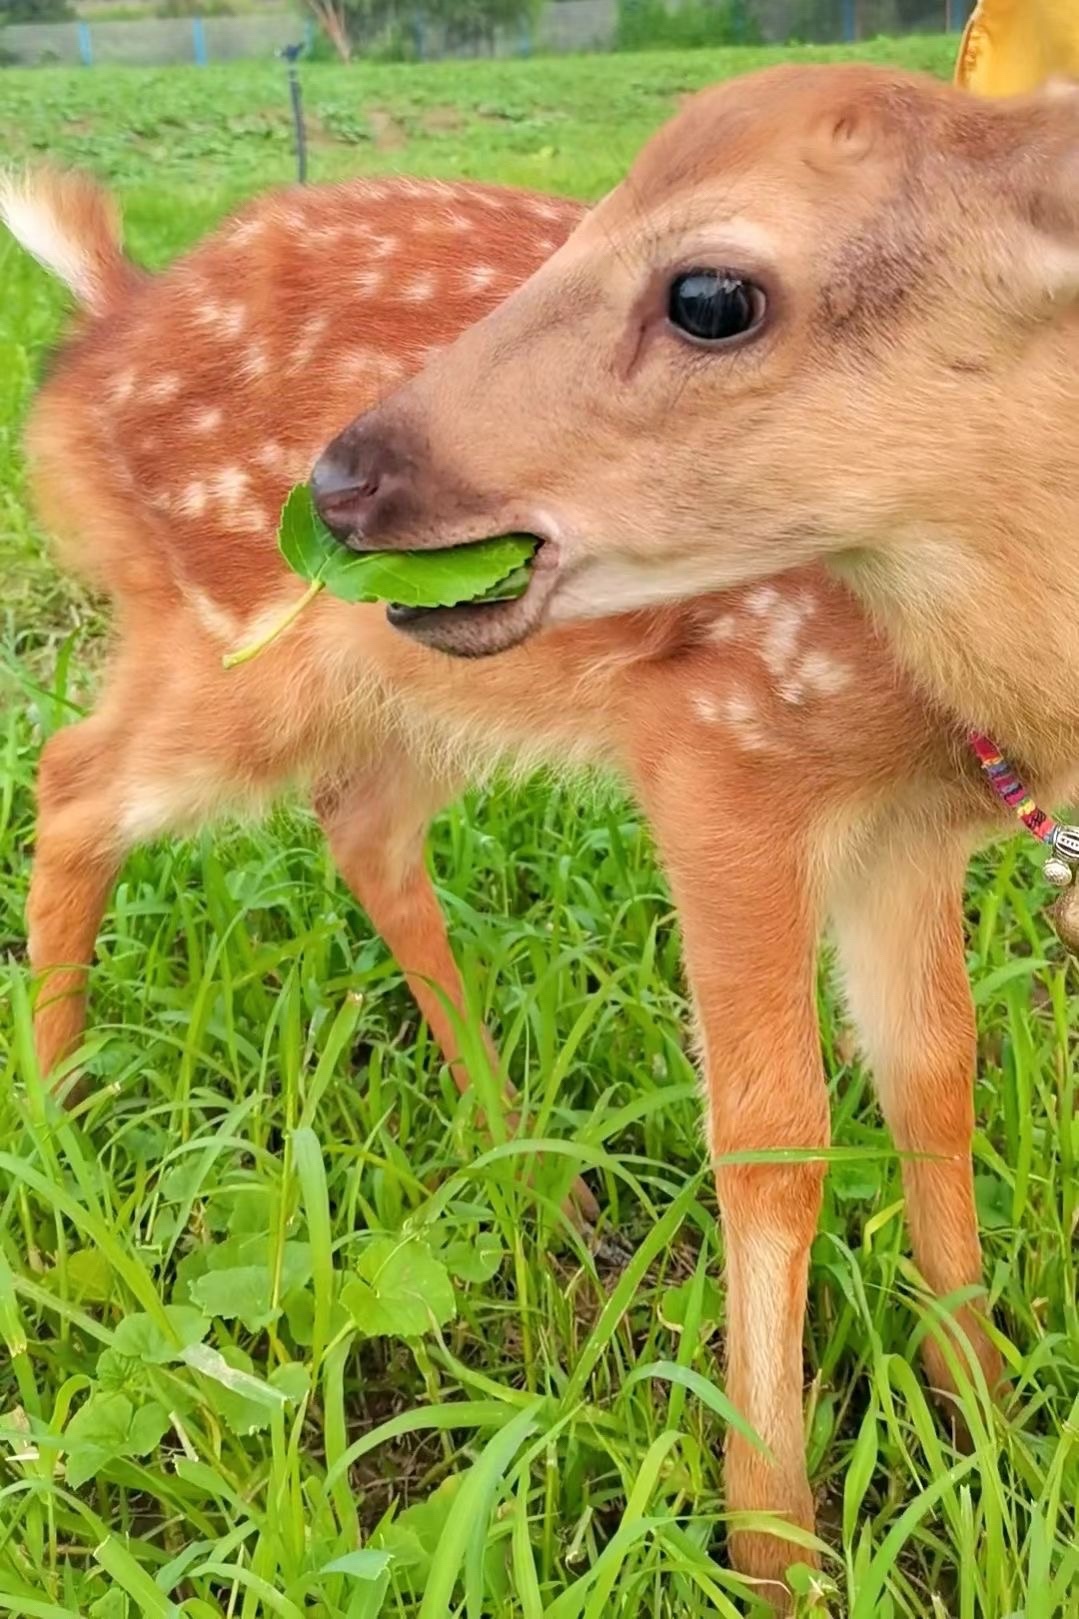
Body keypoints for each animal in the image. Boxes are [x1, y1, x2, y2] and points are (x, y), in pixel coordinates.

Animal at [6, 63, 1069, 1606]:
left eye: (705, 297)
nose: (352, 478)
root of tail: (104, 320)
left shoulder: (907, 832)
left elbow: (934, 1075)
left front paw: (983, 1412)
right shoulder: (721, 750)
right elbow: (775, 1137)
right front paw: (772, 1543)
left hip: (407, 682)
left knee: (359, 825)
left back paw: (529, 1168)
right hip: (235, 648)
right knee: (73, 775)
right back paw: (63, 1117)